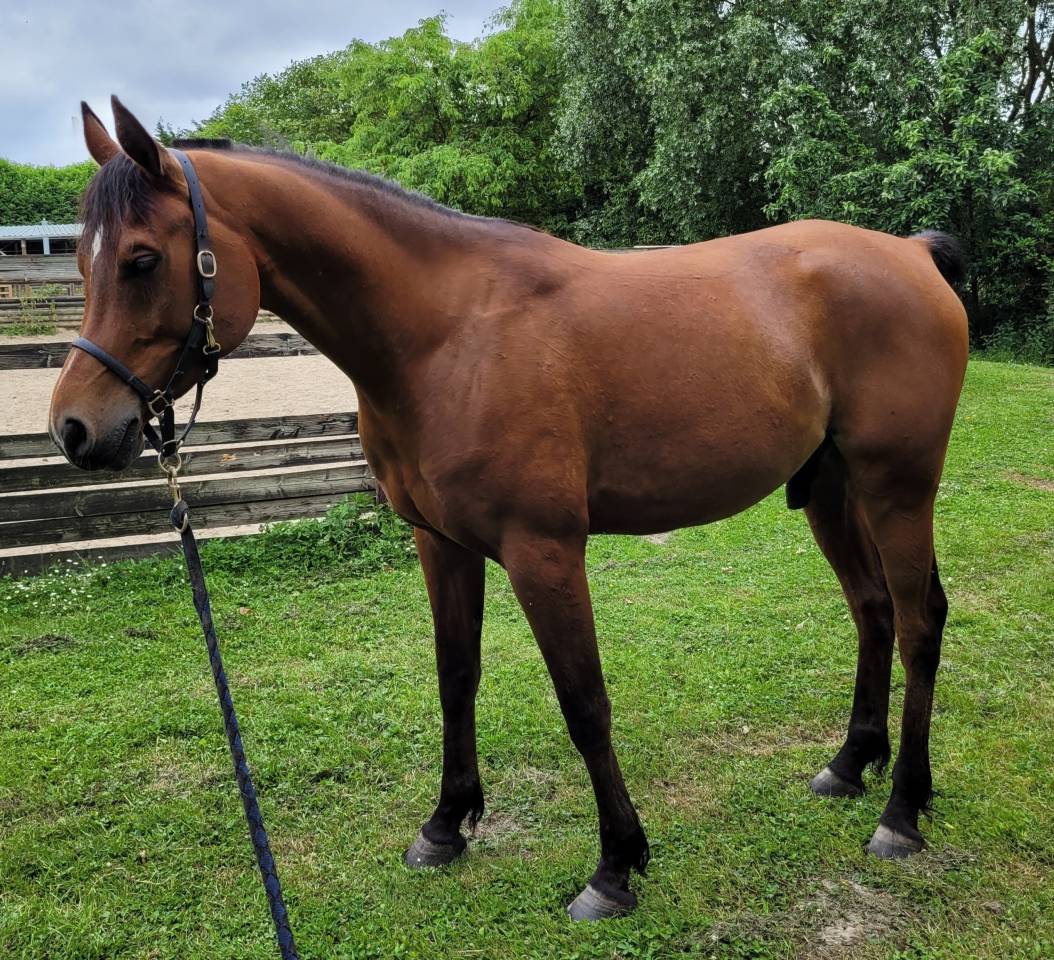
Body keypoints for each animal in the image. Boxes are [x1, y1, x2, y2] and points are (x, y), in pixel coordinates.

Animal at [50, 97, 968, 921]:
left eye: (140, 260)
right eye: (83, 266)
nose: (76, 428)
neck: (447, 335)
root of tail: (912, 256)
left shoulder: (545, 552)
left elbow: (584, 701)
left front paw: (615, 867)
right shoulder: (440, 544)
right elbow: (456, 678)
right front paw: (445, 825)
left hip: (897, 487)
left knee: (919, 621)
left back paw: (901, 813)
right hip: (831, 489)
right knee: (873, 610)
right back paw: (850, 765)